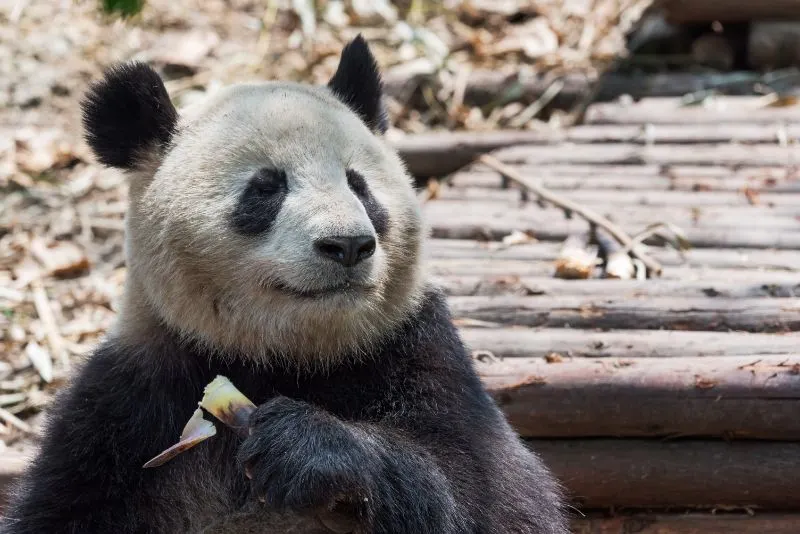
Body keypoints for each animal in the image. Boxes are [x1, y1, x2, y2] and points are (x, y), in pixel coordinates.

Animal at [1, 37, 568, 534]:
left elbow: (496, 494)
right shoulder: (132, 398)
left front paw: (305, 448)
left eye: (359, 184)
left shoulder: (417, 350)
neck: (286, 356)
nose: (347, 245)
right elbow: (60, 504)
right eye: (266, 187)